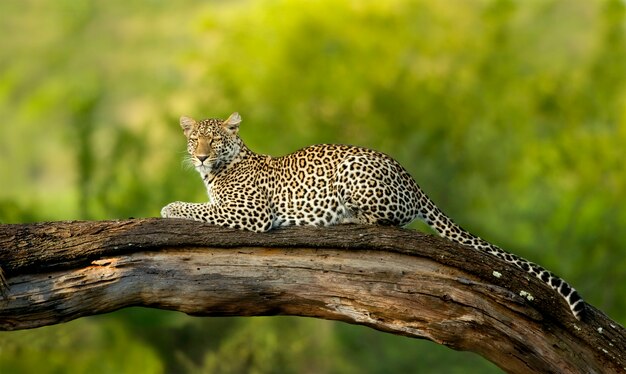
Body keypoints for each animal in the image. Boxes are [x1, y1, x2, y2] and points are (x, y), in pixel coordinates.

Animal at [161, 111, 584, 318]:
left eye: (215, 139)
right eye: (194, 138)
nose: (201, 156)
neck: (215, 171)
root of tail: (410, 176)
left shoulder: (249, 212)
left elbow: (194, 207)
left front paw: (168, 207)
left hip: (355, 172)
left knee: (388, 220)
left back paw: (345, 218)